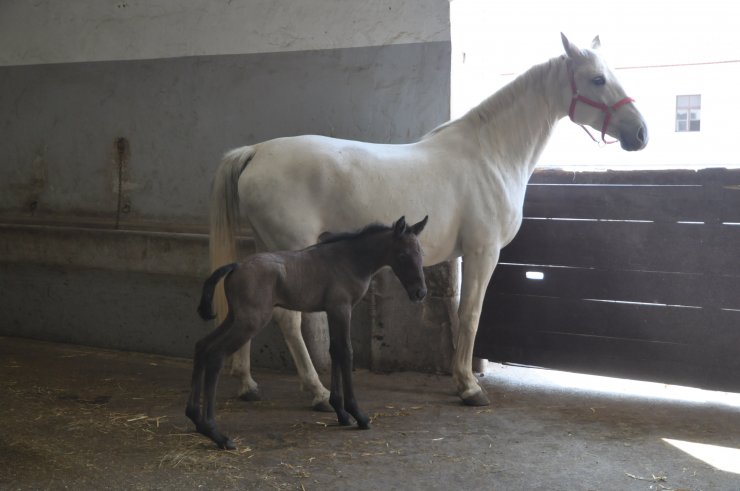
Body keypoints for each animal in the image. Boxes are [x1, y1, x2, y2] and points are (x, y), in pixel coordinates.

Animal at [186, 215, 428, 450]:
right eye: (403, 255)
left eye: (421, 253)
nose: (420, 292)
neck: (350, 260)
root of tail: (235, 266)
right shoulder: (342, 309)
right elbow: (346, 352)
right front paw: (358, 415)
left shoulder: (332, 311)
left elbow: (335, 351)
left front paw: (340, 412)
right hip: (250, 322)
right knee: (216, 355)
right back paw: (216, 434)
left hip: (235, 317)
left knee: (202, 346)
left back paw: (195, 418)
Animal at [207, 31, 648, 408]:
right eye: (597, 79)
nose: (641, 134)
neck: (490, 154)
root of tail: (256, 151)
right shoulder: (482, 252)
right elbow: (470, 315)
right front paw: (468, 387)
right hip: (292, 251)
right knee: (288, 319)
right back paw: (316, 392)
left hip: (266, 251)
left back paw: (247, 384)